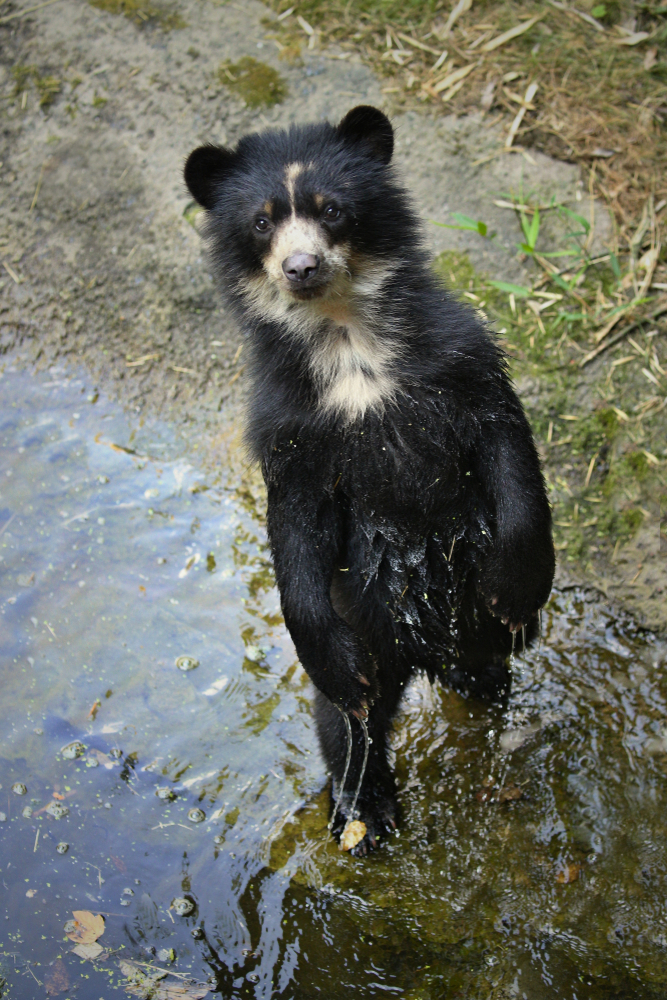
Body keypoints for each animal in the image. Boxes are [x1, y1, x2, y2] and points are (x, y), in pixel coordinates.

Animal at [185, 105, 556, 856]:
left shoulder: (460, 361)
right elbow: (294, 531)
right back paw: (365, 809)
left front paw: (516, 592)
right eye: (262, 223)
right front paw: (335, 671)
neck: (349, 341)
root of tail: (425, 646)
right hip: (364, 608)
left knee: (478, 656)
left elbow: (508, 450)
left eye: (332, 209)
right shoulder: (290, 426)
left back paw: (480, 672)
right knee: (348, 718)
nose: (301, 267)